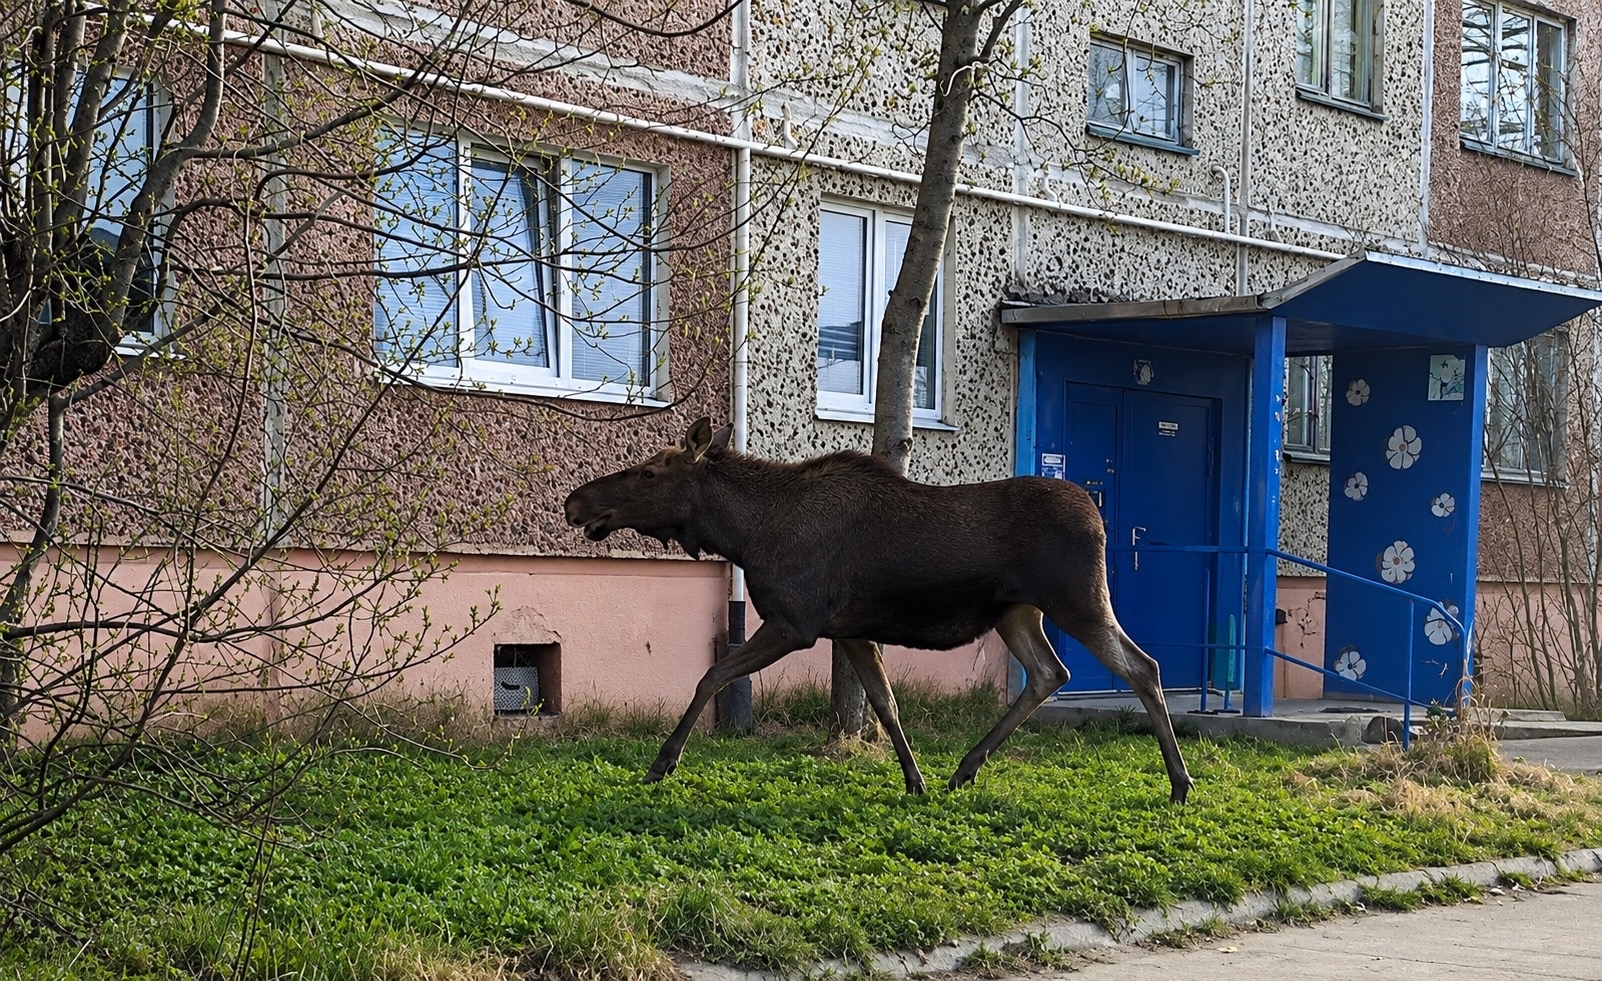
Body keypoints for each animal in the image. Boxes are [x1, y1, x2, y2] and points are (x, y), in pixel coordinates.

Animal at [563, 417, 1194, 803]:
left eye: (650, 471)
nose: (574, 502)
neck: (745, 535)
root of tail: (1098, 514)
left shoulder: (795, 622)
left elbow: (711, 675)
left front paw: (662, 762)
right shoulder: (849, 631)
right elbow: (885, 706)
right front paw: (915, 780)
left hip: (1077, 600)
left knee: (1142, 667)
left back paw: (1180, 782)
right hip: (1016, 613)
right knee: (1049, 672)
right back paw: (964, 768)